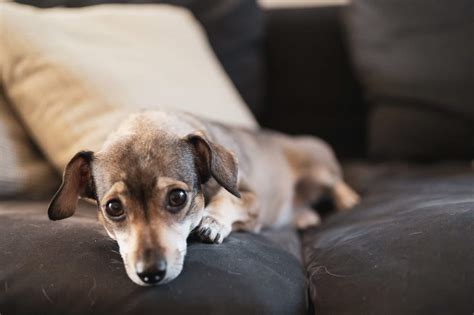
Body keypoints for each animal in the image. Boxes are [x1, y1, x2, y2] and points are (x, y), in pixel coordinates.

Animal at [48, 111, 360, 286]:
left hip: (319, 168)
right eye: (113, 207)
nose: (151, 273)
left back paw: (349, 200)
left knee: (336, 181)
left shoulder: (251, 198)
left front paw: (211, 222)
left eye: (177, 197)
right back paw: (306, 216)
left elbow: (227, 199)